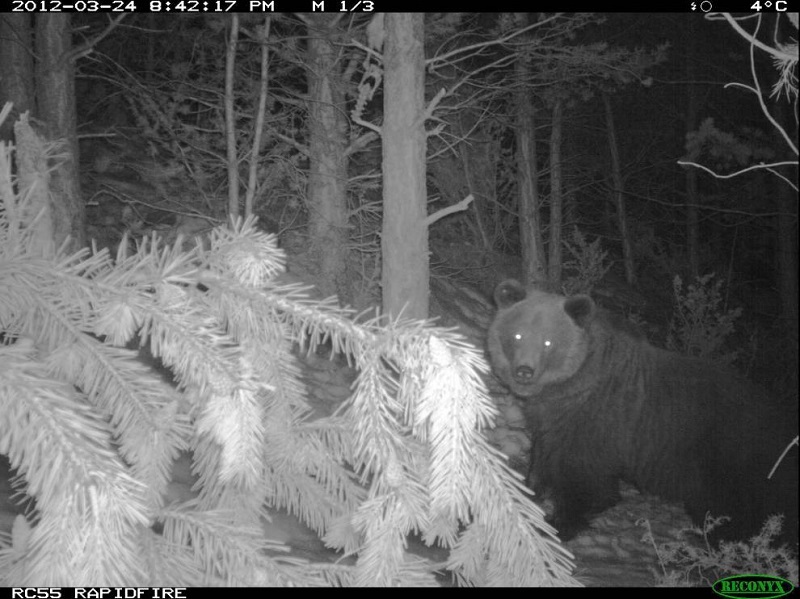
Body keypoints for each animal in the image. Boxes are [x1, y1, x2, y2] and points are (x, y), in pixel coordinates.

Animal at [484, 280, 796, 544]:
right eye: (517, 334)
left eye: (549, 342)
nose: (524, 371)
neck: (568, 389)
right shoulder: (554, 424)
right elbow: (543, 459)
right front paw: (530, 491)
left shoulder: (596, 425)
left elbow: (587, 485)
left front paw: (559, 525)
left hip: (732, 463)